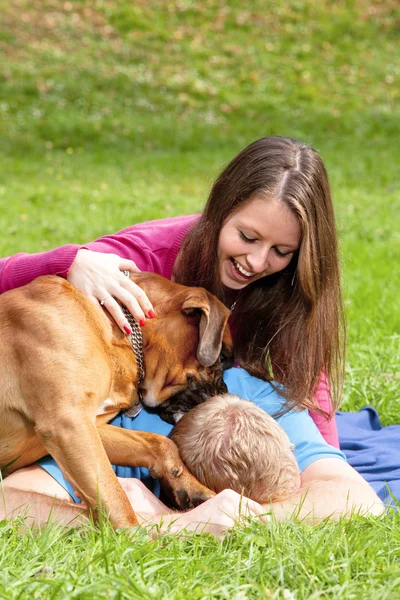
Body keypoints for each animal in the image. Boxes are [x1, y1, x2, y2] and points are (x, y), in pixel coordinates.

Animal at [0, 270, 231, 524]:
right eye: (222, 358)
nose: (225, 390)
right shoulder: (69, 425)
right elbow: (115, 496)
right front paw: (134, 534)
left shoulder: (90, 428)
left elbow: (160, 443)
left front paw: (192, 487)